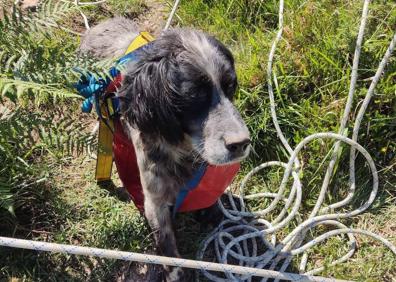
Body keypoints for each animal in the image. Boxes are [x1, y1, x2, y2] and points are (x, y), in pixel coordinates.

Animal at [79, 16, 251, 280]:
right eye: (194, 95)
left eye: (230, 86)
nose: (242, 143)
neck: (182, 149)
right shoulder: (155, 201)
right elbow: (168, 249)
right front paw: (174, 273)